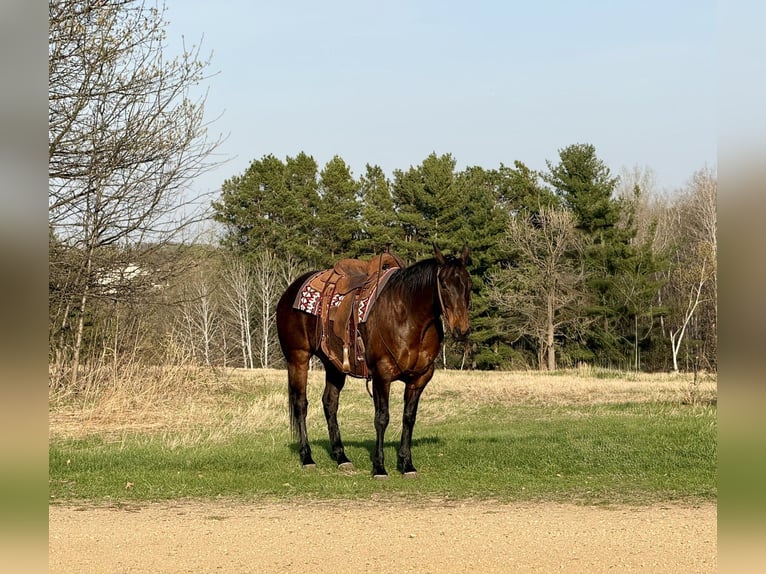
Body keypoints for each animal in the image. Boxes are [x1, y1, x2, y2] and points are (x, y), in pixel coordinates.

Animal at [276, 245, 472, 478]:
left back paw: (341, 457)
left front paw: (407, 464)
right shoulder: (382, 374)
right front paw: (379, 467)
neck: (407, 316)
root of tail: (290, 290)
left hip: (334, 366)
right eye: (443, 284)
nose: (461, 329)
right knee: (300, 404)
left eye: (469, 284)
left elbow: (409, 418)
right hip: (298, 358)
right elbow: (382, 418)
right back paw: (307, 457)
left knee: (330, 403)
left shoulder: (419, 379)